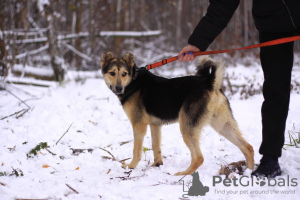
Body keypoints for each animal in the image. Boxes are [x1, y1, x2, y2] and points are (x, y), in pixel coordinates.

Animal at [102, 51, 254, 175]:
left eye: (124, 74)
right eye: (112, 73)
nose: (119, 88)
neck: (133, 81)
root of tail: (210, 83)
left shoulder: (138, 125)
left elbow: (136, 150)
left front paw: (131, 166)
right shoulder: (155, 125)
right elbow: (156, 146)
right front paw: (157, 165)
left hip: (187, 127)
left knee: (199, 158)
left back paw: (183, 174)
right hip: (223, 125)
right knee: (248, 147)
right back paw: (249, 173)